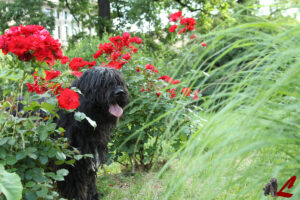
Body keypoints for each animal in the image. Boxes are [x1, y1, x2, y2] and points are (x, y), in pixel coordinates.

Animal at [55, 67, 129, 200]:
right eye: (102, 82)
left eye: (119, 82)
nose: (120, 92)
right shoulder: (70, 158)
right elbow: (73, 180)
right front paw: (75, 197)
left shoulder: (89, 152)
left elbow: (89, 177)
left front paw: (93, 195)